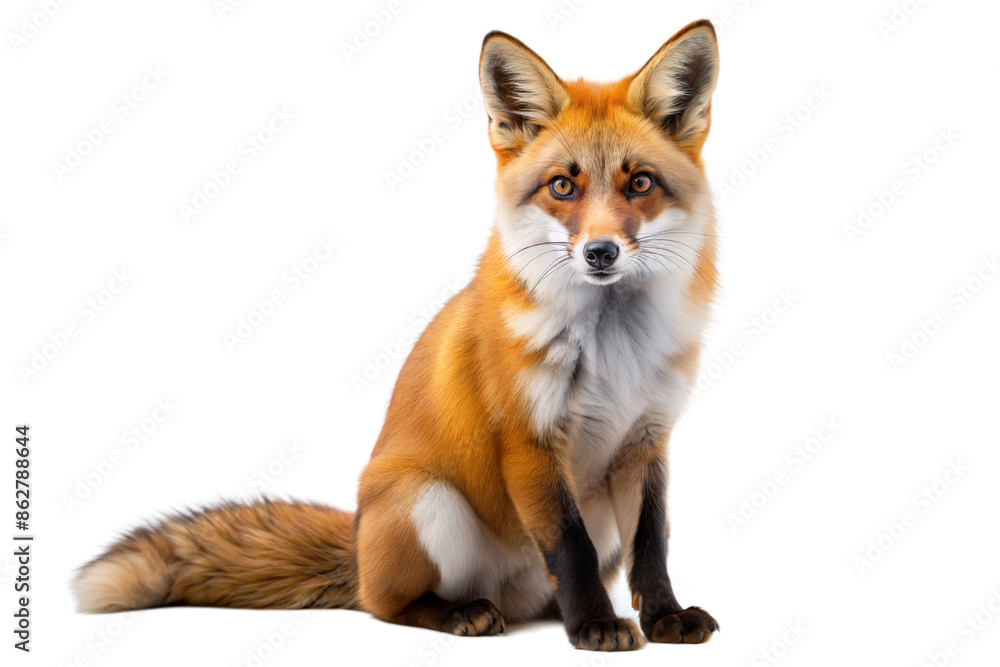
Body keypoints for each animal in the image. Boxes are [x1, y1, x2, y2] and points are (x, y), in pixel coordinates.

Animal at [75, 19, 722, 652]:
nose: (600, 252)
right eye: (563, 186)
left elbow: (653, 547)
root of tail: (359, 550)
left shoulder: (647, 439)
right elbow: (571, 548)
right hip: (425, 500)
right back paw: (460, 613)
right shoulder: (529, 439)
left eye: (640, 184)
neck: (613, 351)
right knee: (385, 606)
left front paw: (664, 616)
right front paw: (592, 625)